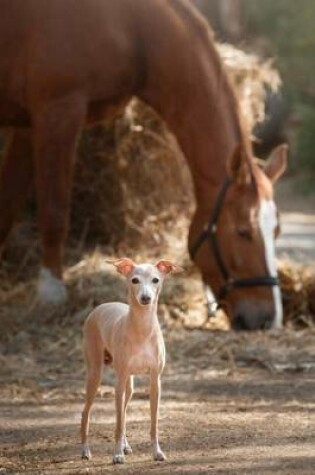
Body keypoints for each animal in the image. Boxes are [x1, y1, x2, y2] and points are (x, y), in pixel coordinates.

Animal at [0, 0, 286, 330]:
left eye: (276, 231)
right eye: (243, 232)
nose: (268, 318)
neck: (132, 26)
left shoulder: (28, 127)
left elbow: (8, 206)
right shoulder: (56, 113)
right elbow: (54, 211)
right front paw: (51, 293)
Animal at [80, 260, 181, 464]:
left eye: (156, 280)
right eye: (134, 280)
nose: (146, 298)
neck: (142, 329)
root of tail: (100, 306)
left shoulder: (155, 381)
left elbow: (153, 423)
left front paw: (157, 452)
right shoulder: (119, 382)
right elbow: (118, 423)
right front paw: (117, 454)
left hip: (130, 386)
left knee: (125, 412)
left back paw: (125, 446)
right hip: (96, 374)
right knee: (87, 412)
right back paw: (85, 450)